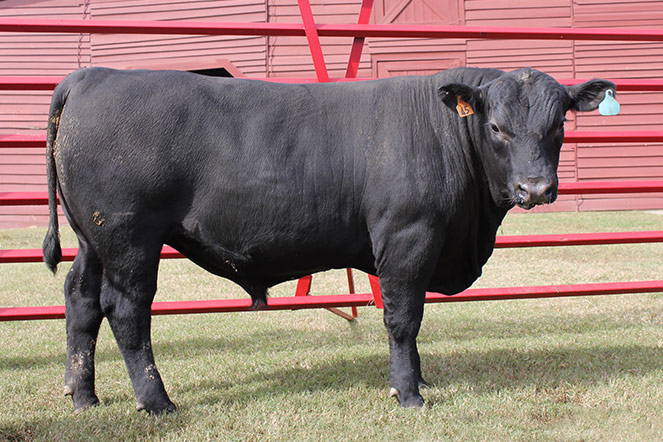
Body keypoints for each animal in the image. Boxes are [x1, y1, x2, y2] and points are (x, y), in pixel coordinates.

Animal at [42, 66, 614, 413]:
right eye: (496, 127)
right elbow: (404, 318)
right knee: (126, 309)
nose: (535, 187)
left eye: (559, 125)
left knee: (81, 300)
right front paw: (408, 393)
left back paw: (82, 395)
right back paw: (157, 401)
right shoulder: (408, 237)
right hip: (128, 236)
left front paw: (420, 380)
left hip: (92, 239)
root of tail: (94, 75)